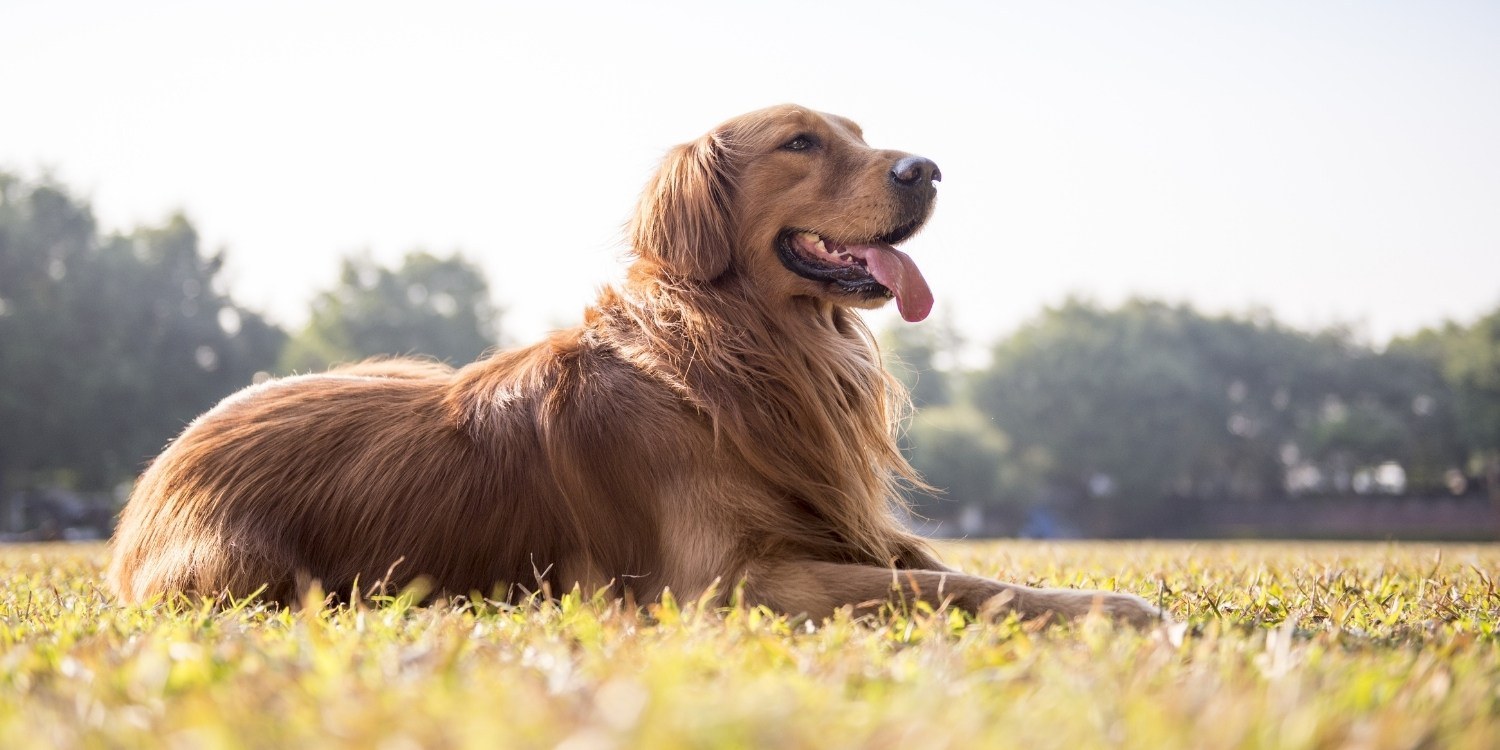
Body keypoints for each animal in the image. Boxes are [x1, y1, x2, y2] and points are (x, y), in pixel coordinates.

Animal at [108, 102, 1158, 624]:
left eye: (862, 138)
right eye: (801, 141)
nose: (928, 169)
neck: (746, 350)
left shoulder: (837, 527)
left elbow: (951, 566)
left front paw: (1104, 596)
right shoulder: (729, 584)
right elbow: (949, 585)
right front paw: (1120, 607)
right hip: (250, 574)